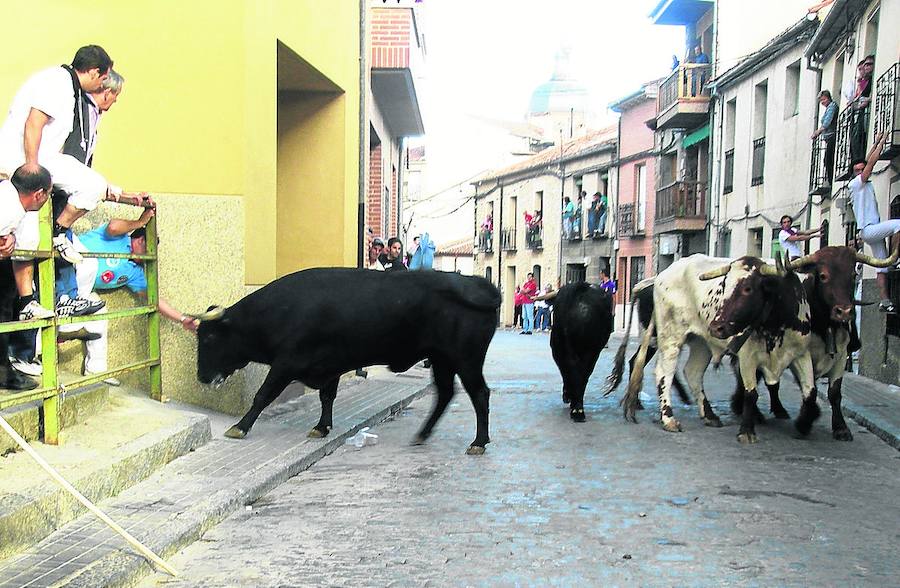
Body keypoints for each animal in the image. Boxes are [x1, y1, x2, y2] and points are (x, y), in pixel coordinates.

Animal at [195, 268, 500, 458]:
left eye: (209, 337)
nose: (201, 377)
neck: (279, 311)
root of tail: (476, 284)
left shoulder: (286, 364)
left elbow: (263, 395)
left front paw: (240, 427)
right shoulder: (329, 366)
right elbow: (327, 396)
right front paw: (322, 427)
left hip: (466, 360)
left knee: (479, 394)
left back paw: (478, 443)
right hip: (442, 360)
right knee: (446, 394)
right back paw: (423, 434)